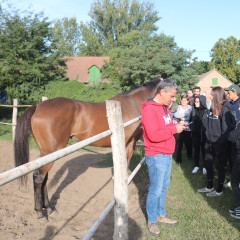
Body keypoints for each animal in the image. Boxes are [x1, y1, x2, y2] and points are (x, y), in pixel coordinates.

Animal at [14, 77, 161, 219]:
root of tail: (37, 106)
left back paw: (50, 209)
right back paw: (40, 211)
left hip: (47, 155)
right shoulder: (129, 144)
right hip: (51, 151)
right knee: (38, 177)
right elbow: (124, 167)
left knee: (44, 178)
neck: (131, 104)